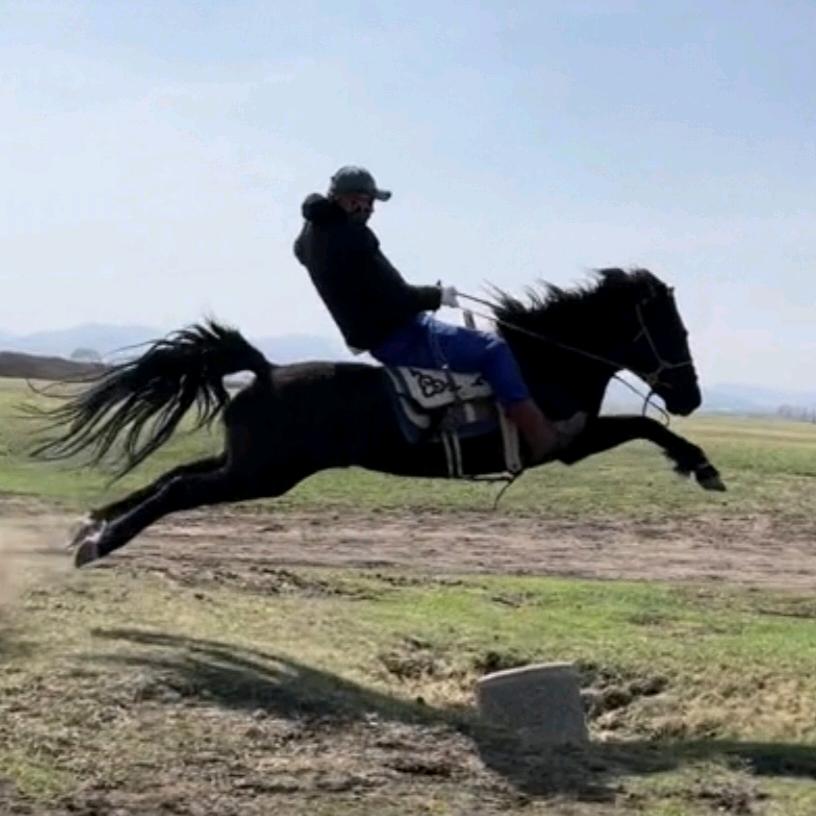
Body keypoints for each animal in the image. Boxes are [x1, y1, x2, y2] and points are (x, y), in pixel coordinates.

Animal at [34, 268, 725, 567]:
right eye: (672, 329)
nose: (690, 395)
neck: (543, 357)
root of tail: (263, 370)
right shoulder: (565, 443)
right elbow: (645, 426)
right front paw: (700, 465)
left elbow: (645, 427)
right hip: (260, 475)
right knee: (178, 490)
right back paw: (98, 542)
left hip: (245, 462)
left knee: (171, 475)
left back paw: (90, 523)